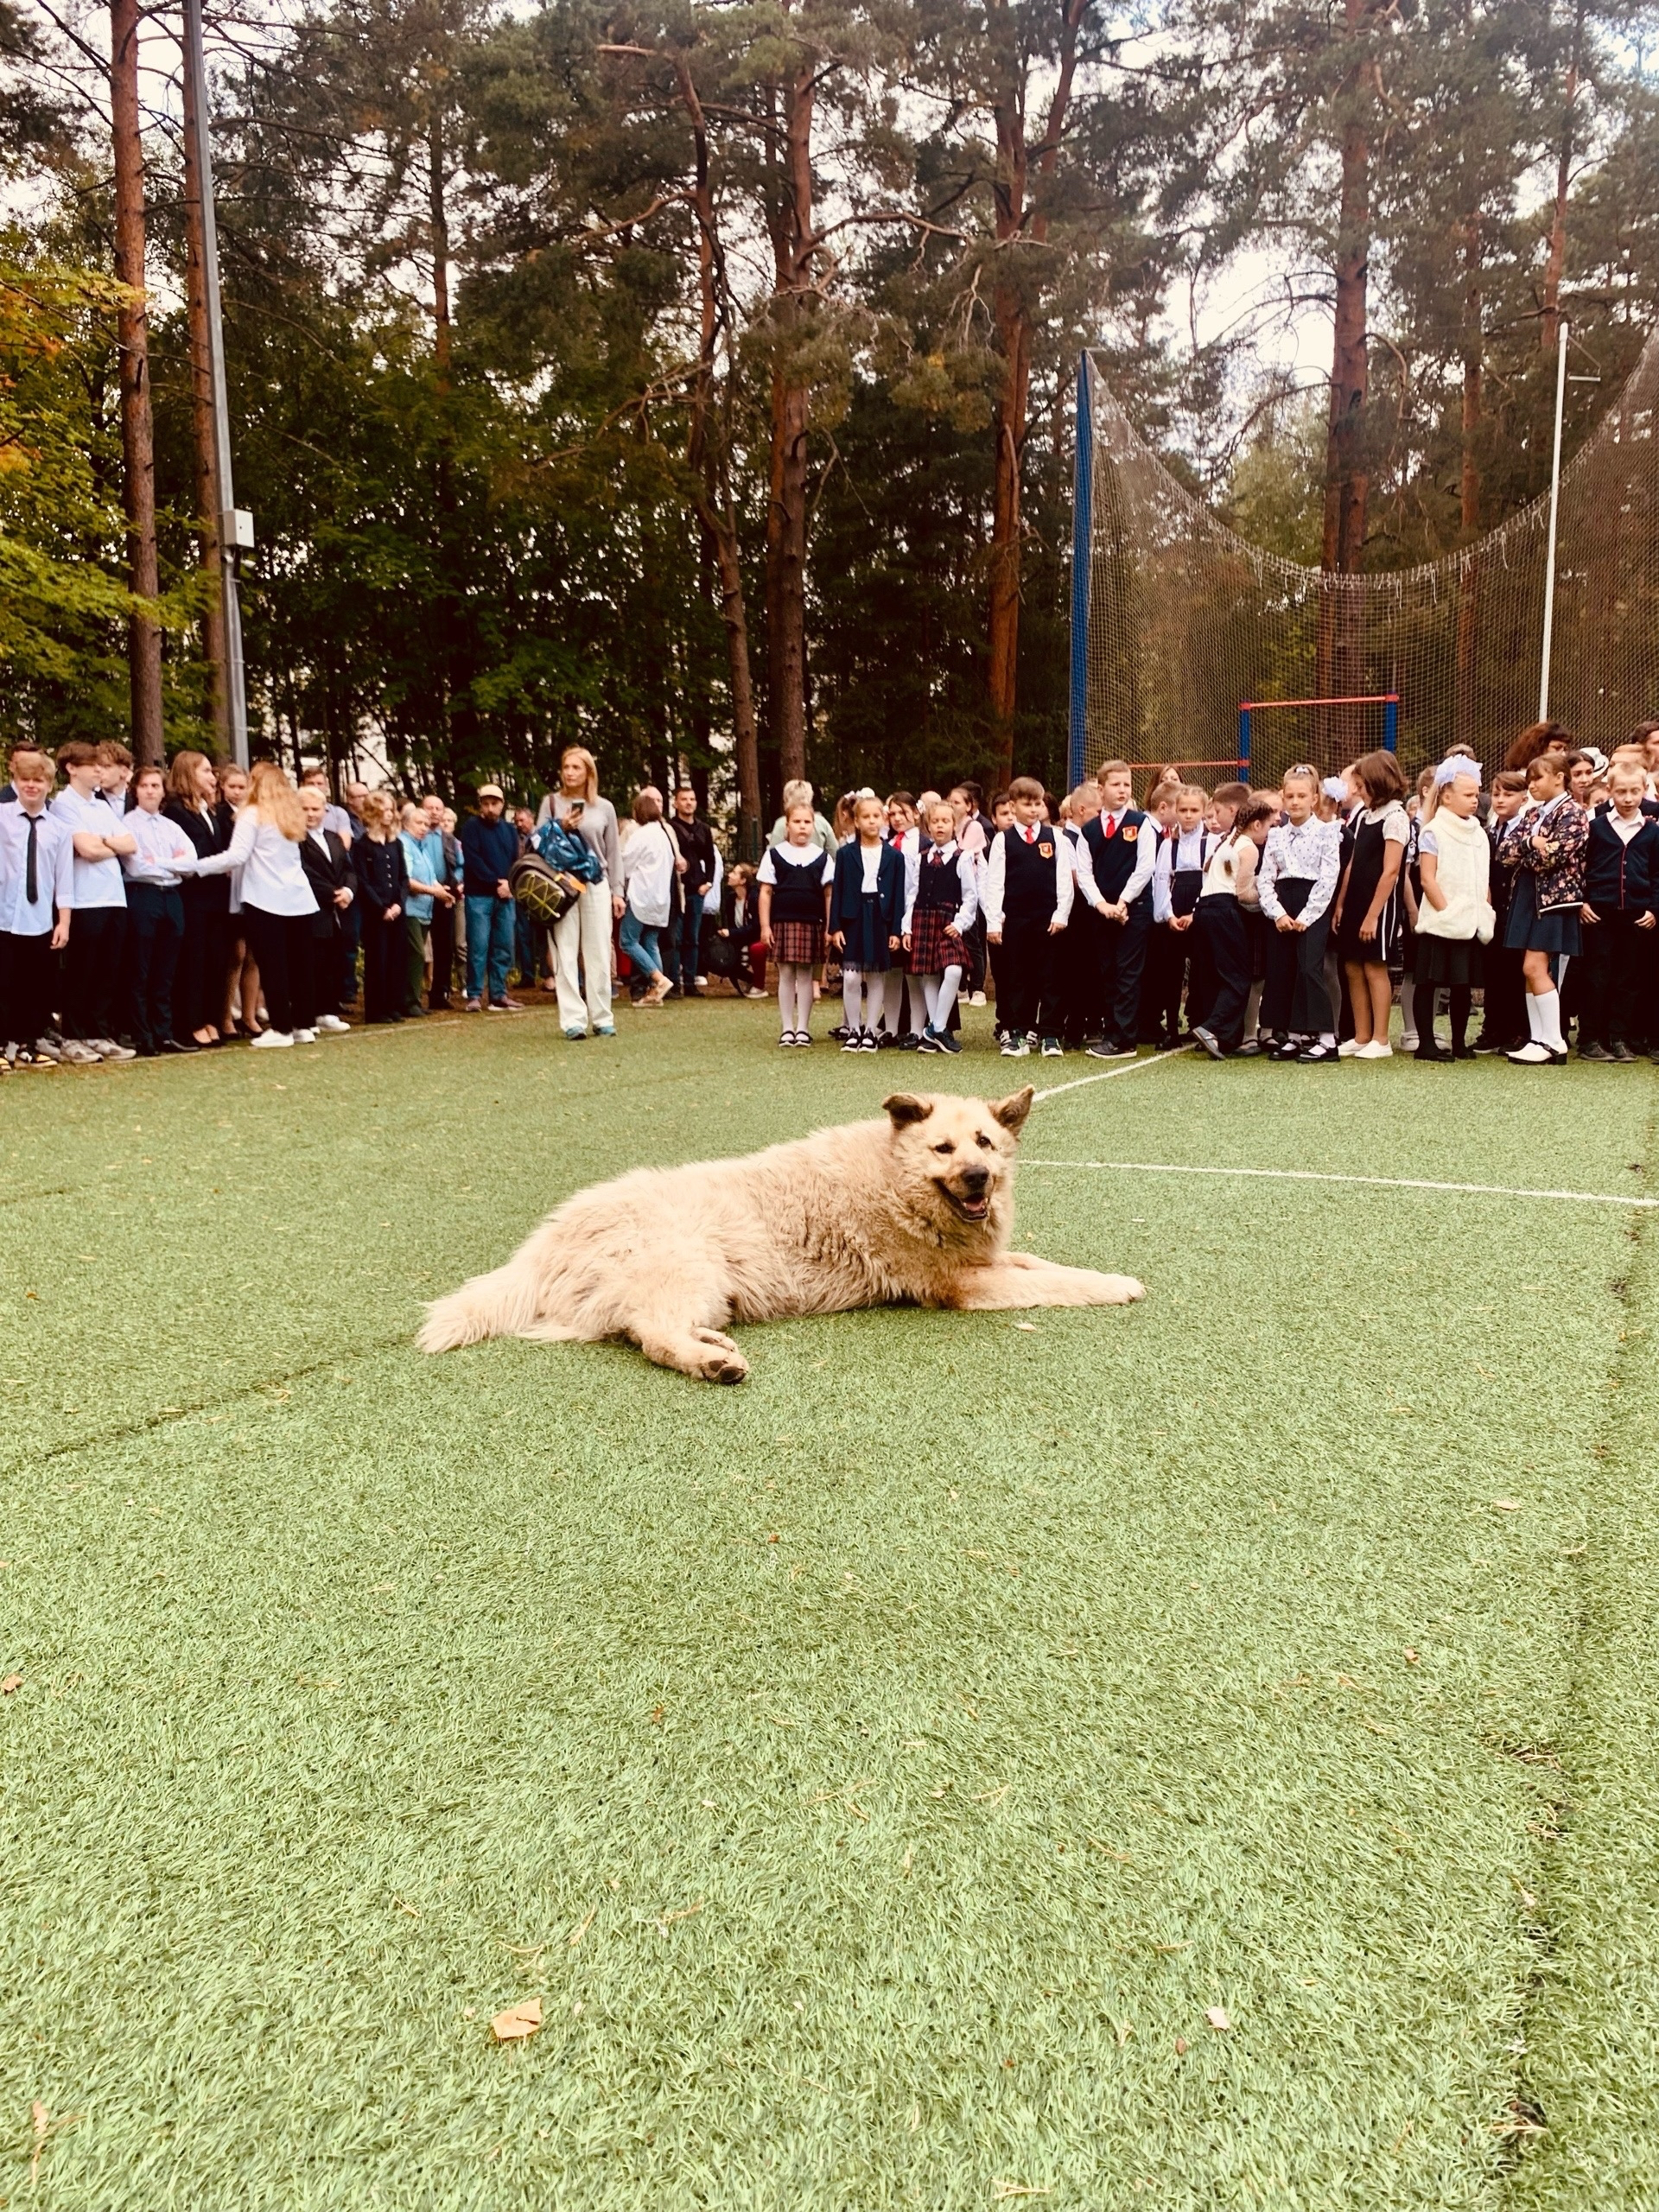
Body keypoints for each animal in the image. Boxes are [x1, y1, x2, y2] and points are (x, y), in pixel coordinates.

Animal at [418, 1086, 1144, 1383]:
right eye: (944, 1149)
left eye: (986, 1144)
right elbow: (1062, 1285)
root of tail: (547, 1241)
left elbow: (1043, 1264)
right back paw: (709, 1364)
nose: (976, 1179)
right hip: (693, 1263)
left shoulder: (989, 1260)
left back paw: (711, 1346)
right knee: (651, 1336)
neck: (896, 1179)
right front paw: (1119, 1285)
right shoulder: (961, 1287)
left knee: (639, 1326)